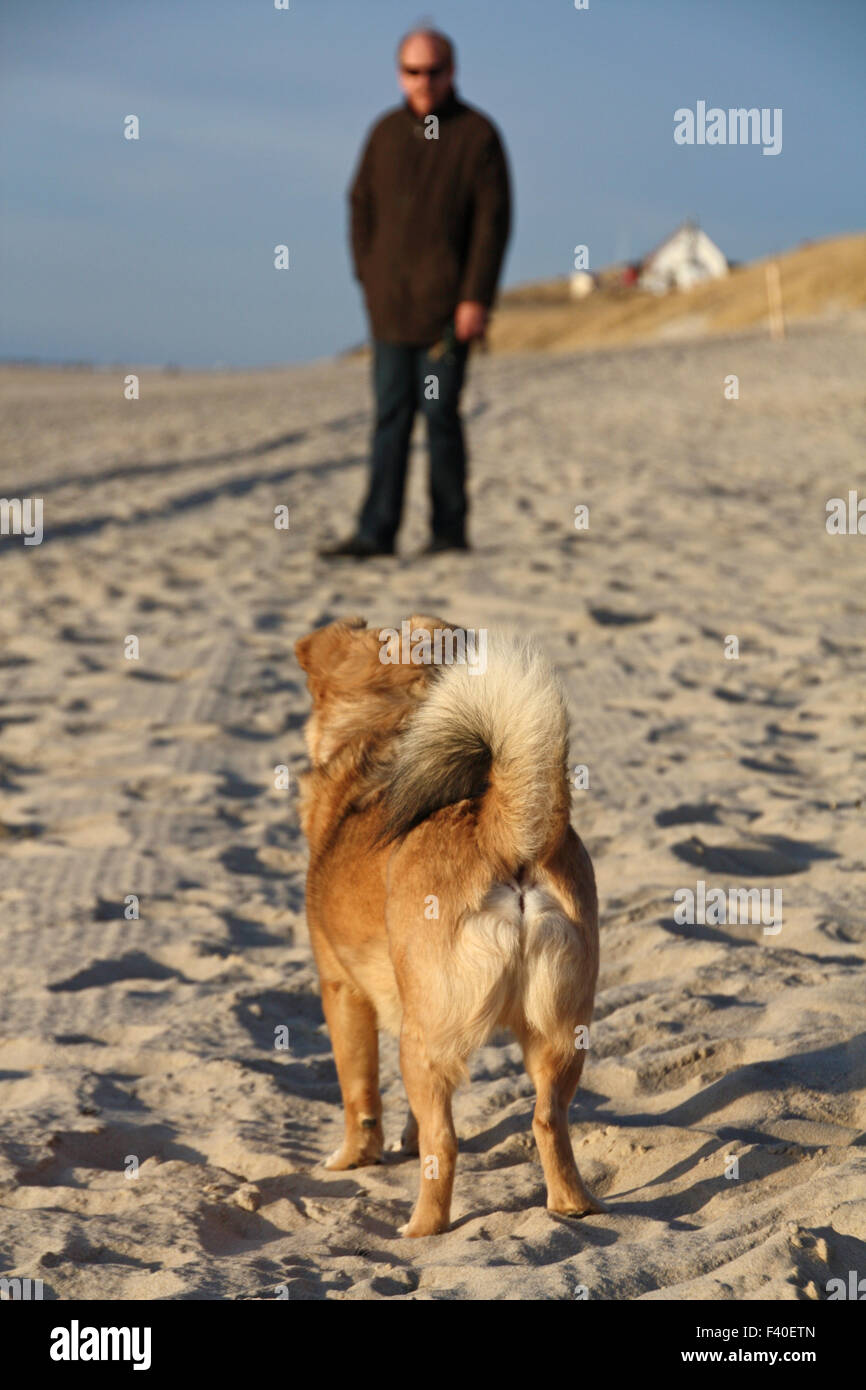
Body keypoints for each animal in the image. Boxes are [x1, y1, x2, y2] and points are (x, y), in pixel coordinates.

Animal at [293, 614, 603, 1234]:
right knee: (548, 1120)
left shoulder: (341, 991)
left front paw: (353, 1158)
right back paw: (571, 1204)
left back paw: (421, 1228)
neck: (385, 730)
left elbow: (359, 1094)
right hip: (559, 1034)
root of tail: (498, 833)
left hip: (422, 1042)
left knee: (446, 1143)